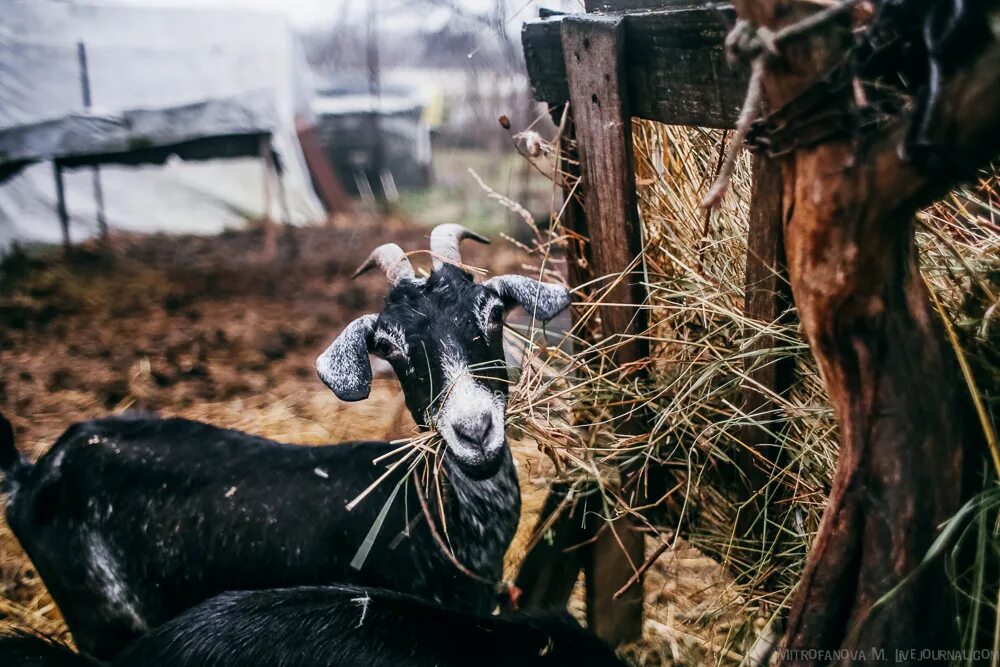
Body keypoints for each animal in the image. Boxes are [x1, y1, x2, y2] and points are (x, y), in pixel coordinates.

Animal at [0, 223, 572, 656]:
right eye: (390, 348)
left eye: (492, 314)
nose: (474, 430)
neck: (444, 510)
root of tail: (35, 471)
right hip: (100, 621)